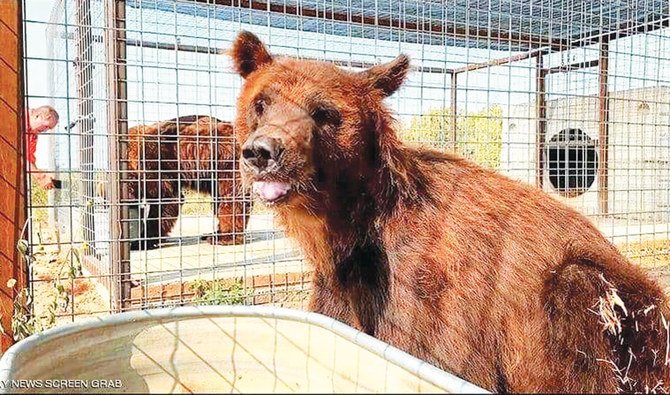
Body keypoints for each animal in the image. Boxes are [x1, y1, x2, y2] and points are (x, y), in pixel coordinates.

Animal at [124, 115, 252, 251]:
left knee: (231, 198)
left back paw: (225, 237)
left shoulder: (153, 164)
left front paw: (143, 241)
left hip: (226, 162)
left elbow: (165, 200)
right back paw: (214, 233)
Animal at [230, 32, 670, 394]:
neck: (348, 229)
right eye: (261, 103)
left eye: (323, 112)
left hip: (619, 319)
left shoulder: (430, 293)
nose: (262, 152)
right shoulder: (341, 292)